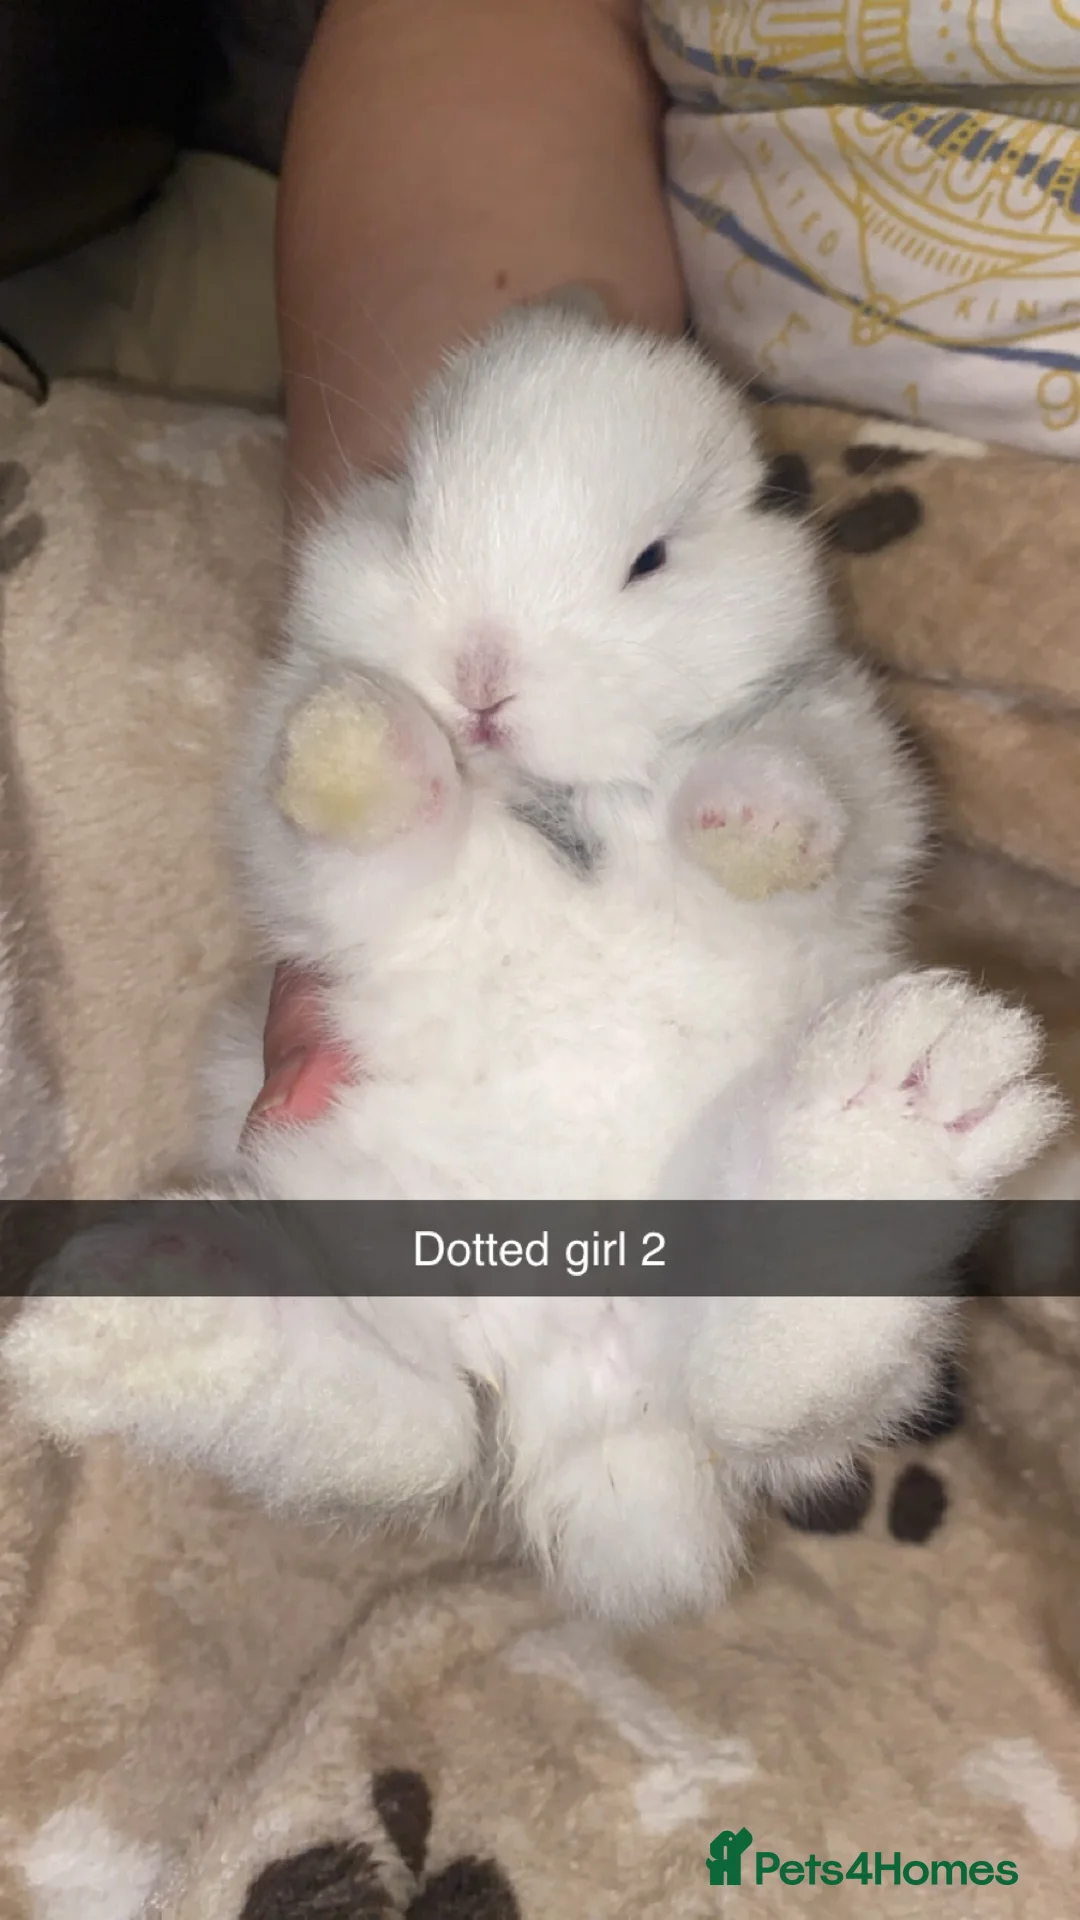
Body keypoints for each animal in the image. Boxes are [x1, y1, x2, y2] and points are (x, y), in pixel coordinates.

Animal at [1, 304, 1063, 1626]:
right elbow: (364, 821)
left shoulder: (841, 746)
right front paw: (345, 743)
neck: (539, 790)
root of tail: (599, 1417)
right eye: (410, 514)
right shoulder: (342, 875)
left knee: (754, 1390)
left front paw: (756, 830)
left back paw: (901, 1110)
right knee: (421, 1429)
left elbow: (780, 777)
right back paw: (128, 1323)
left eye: (651, 560)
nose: (479, 678)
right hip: (377, 1236)